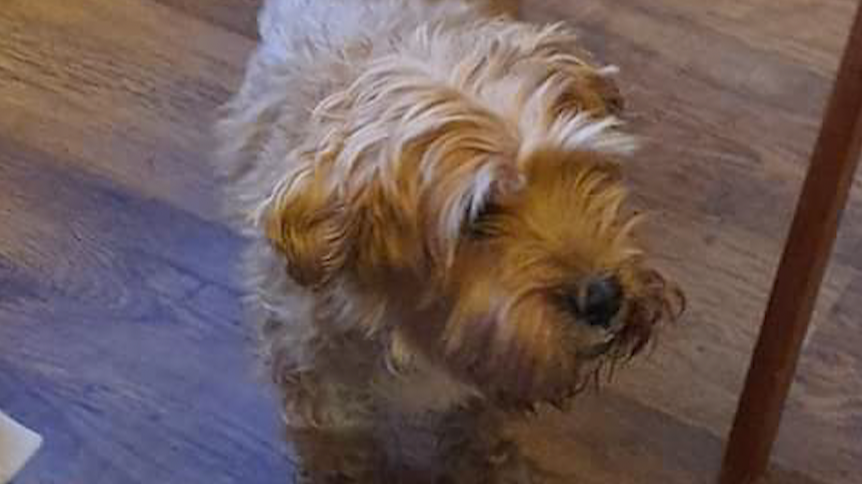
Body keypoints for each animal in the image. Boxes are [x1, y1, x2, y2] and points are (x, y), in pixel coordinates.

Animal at [216, 0, 684, 482]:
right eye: (479, 215)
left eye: (582, 167)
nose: (605, 297)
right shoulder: (316, 381)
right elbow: (339, 448)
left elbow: (481, 434)